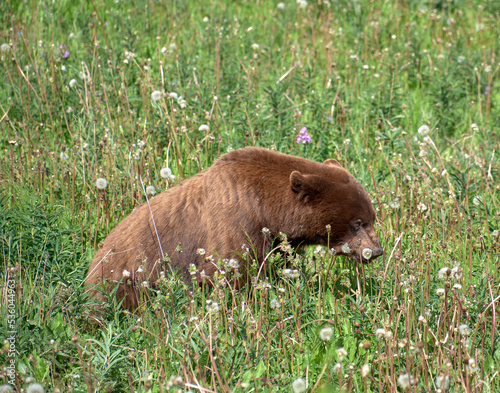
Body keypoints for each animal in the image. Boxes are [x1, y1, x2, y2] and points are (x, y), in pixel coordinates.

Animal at [86, 145, 382, 308]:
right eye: (357, 222)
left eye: (372, 217)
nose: (376, 251)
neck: (267, 208)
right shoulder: (236, 222)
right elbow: (230, 271)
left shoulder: (277, 240)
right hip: (124, 281)